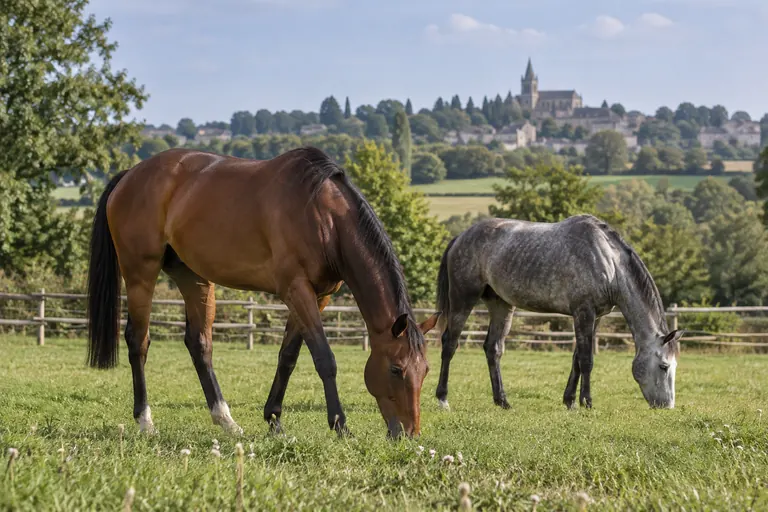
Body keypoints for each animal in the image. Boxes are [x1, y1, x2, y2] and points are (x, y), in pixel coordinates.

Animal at [85, 146, 440, 439]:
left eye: (424, 370)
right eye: (396, 369)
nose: (409, 433)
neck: (323, 217)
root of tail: (129, 175)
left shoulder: (318, 295)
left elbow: (288, 357)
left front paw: (274, 420)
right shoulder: (296, 289)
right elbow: (324, 358)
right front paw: (340, 425)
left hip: (193, 277)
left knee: (199, 344)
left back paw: (226, 421)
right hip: (140, 273)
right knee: (138, 341)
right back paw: (145, 421)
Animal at [434, 214, 683, 411]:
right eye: (664, 366)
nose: (667, 406)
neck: (609, 262)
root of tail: (460, 237)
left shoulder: (593, 317)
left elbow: (576, 359)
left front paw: (570, 401)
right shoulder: (583, 312)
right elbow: (586, 360)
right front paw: (587, 402)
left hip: (501, 305)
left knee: (493, 349)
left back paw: (502, 401)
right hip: (463, 299)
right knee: (450, 344)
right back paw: (443, 399)